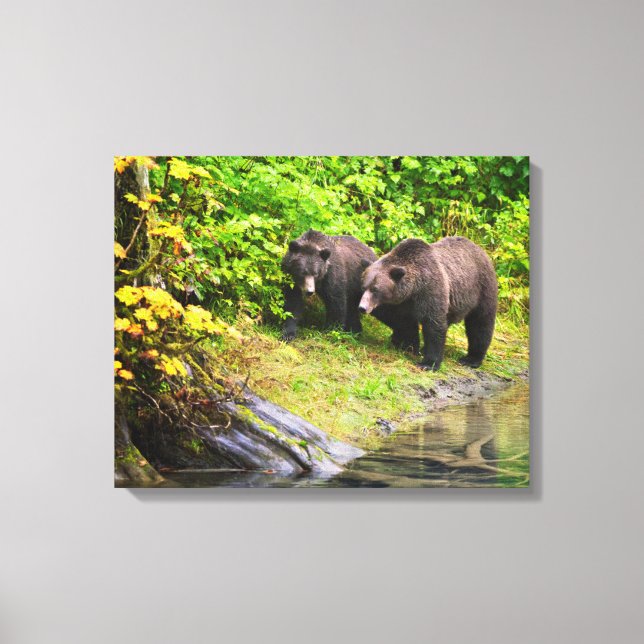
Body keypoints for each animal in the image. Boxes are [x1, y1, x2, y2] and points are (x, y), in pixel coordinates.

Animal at [358, 236, 498, 371]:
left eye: (375, 289)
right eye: (364, 286)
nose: (362, 307)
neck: (412, 289)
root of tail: (480, 249)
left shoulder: (430, 291)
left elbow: (433, 325)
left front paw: (428, 363)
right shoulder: (399, 303)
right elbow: (401, 321)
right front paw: (407, 344)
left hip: (482, 288)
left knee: (481, 323)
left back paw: (471, 359)